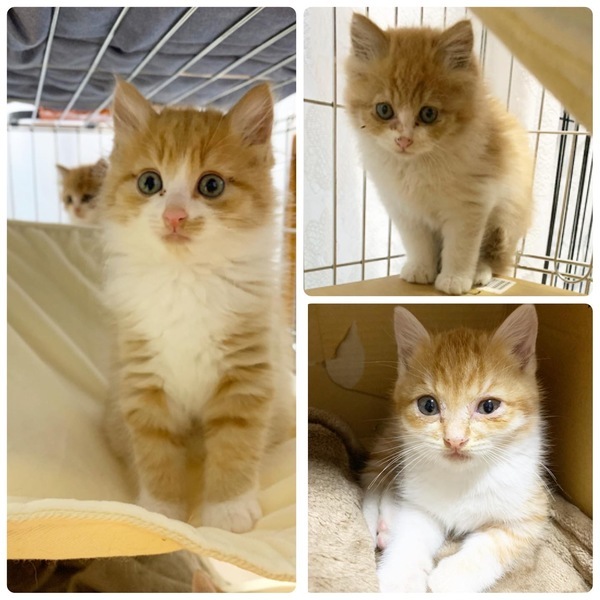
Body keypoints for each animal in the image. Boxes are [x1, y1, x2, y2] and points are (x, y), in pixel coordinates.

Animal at [102, 79, 295, 533]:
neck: (185, 279)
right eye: (149, 182)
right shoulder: (142, 380)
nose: (174, 216)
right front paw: (161, 511)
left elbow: (235, 448)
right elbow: (155, 454)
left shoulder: (247, 377)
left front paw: (227, 511)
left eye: (211, 186)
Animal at [345, 14, 534, 295]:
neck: (417, 167)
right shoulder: (404, 209)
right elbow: (418, 243)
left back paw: (479, 272)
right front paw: (421, 269)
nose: (404, 140)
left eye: (428, 114)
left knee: (495, 257)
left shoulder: (471, 205)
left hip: (507, 219)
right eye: (383, 110)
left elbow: (460, 248)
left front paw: (454, 279)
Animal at [361, 305, 549, 592]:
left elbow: (496, 543)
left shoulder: (532, 511)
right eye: (428, 405)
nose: (455, 440)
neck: (464, 477)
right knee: (374, 485)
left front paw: (450, 578)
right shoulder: (420, 505)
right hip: (392, 444)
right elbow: (411, 533)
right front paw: (399, 578)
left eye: (489, 406)